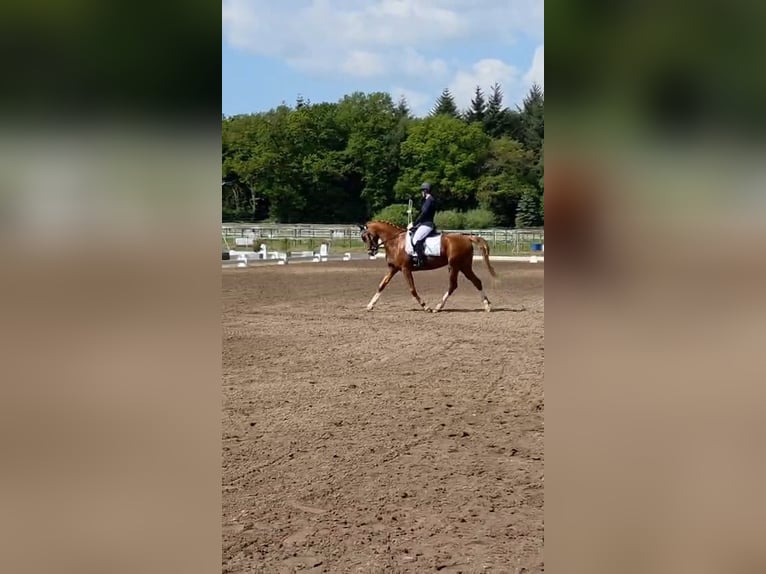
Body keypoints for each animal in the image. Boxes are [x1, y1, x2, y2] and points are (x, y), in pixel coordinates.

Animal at [358, 220, 498, 313]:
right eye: (362, 238)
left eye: (366, 236)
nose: (371, 252)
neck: (395, 242)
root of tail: (467, 238)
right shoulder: (394, 269)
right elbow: (382, 285)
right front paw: (370, 305)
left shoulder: (405, 269)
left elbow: (412, 289)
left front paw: (426, 306)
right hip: (464, 266)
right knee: (476, 281)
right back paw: (487, 305)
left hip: (455, 266)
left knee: (453, 285)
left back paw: (438, 307)